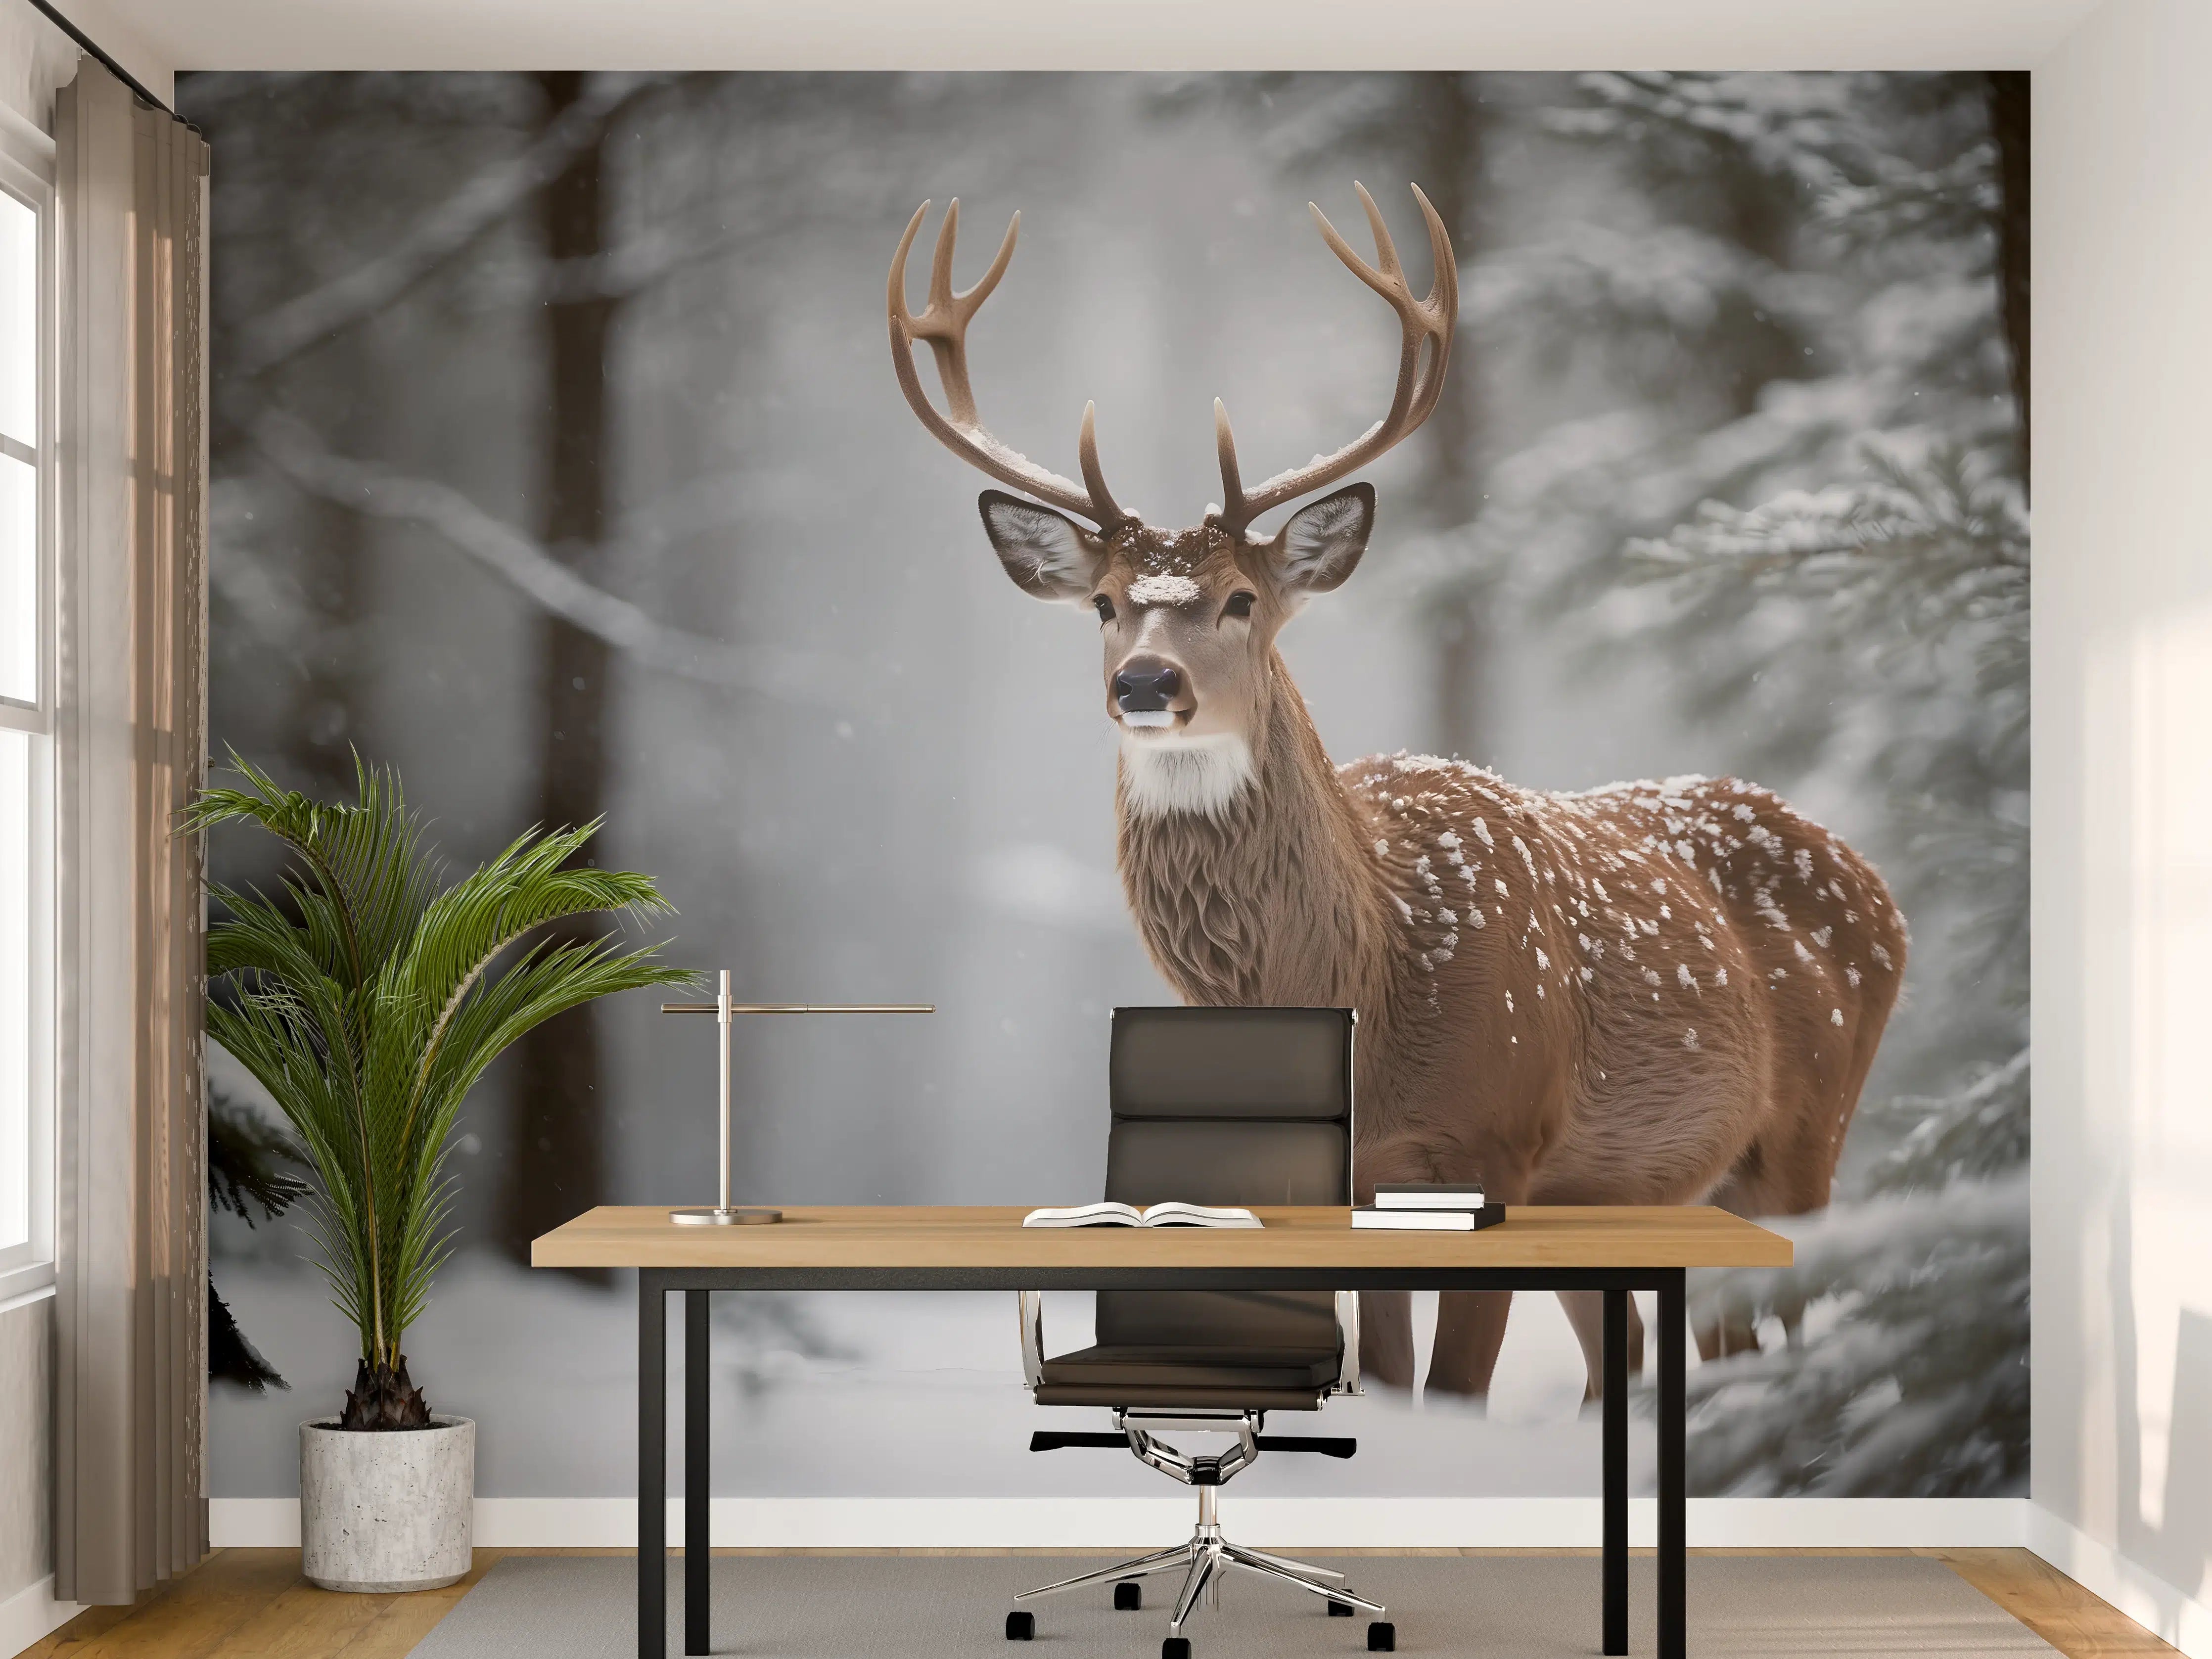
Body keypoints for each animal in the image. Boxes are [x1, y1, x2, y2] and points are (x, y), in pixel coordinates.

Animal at [887, 184, 1907, 1400]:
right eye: (1101, 602)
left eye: (1239, 599)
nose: (1144, 681)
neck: (1363, 974)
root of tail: (1878, 890)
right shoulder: (1362, 1176)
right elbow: (1382, 1375)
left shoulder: (1497, 1139)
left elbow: (1453, 1388)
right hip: (1636, 1184)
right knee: (1671, 1348)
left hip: (1806, 1134)